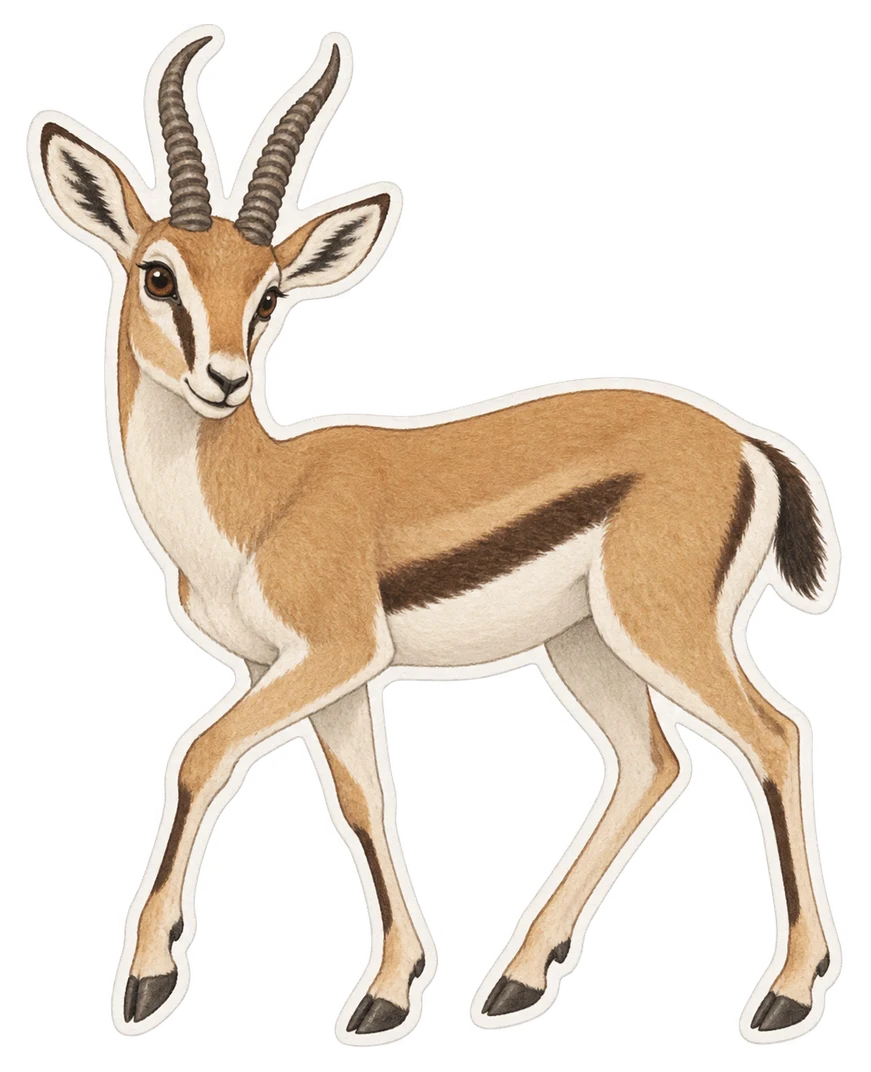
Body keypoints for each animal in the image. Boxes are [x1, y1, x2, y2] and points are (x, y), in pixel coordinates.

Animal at [28, 26, 843, 1045]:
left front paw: (144, 980)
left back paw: (785, 993)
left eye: (267, 294)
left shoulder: (331, 651)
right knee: (653, 762)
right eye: (159, 273)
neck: (258, 495)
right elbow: (362, 799)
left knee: (773, 735)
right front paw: (387, 991)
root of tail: (743, 441)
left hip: (659, 630)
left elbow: (199, 755)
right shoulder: (309, 672)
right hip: (585, 644)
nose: (221, 378)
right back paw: (517, 981)